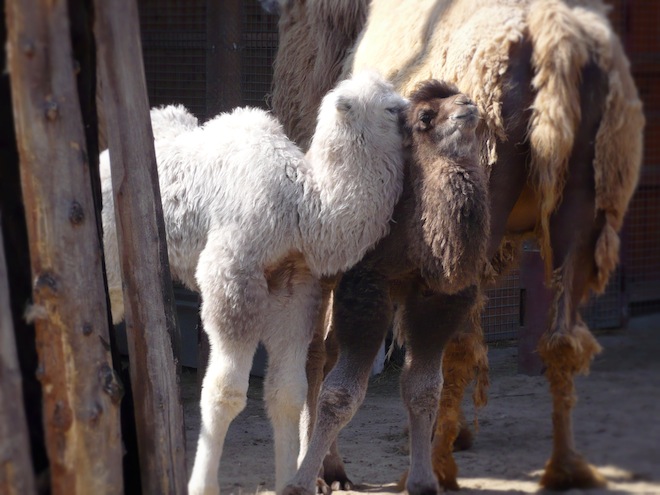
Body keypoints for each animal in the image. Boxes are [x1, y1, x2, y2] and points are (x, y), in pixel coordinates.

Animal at [100, 71, 409, 494]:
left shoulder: (296, 288)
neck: (303, 206)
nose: (420, 117)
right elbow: (225, 392)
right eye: (392, 108)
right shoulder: (231, 276)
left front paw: (287, 481)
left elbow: (287, 394)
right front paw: (201, 485)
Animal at [264, 0, 645, 493]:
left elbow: (328, 350)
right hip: (582, 203)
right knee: (560, 338)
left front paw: (326, 471)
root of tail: (557, 43)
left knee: (439, 349)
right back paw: (563, 467)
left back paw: (433, 466)